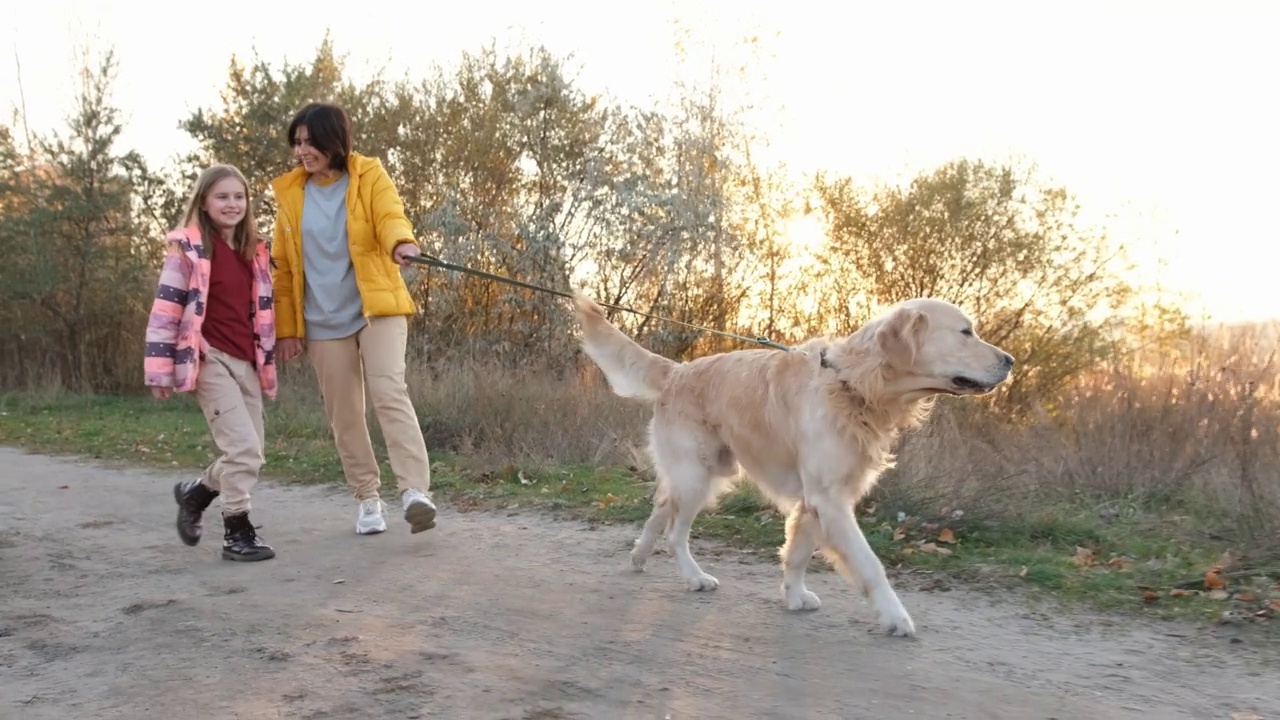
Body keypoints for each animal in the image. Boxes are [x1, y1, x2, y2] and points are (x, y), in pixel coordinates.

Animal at [570, 292, 1008, 632]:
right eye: (966, 332)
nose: (1011, 361)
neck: (854, 385)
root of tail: (678, 369)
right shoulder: (829, 498)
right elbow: (870, 564)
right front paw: (895, 617)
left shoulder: (818, 498)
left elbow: (798, 552)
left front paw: (794, 596)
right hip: (698, 476)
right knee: (676, 532)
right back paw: (694, 577)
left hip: (700, 471)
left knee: (661, 507)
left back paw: (638, 556)